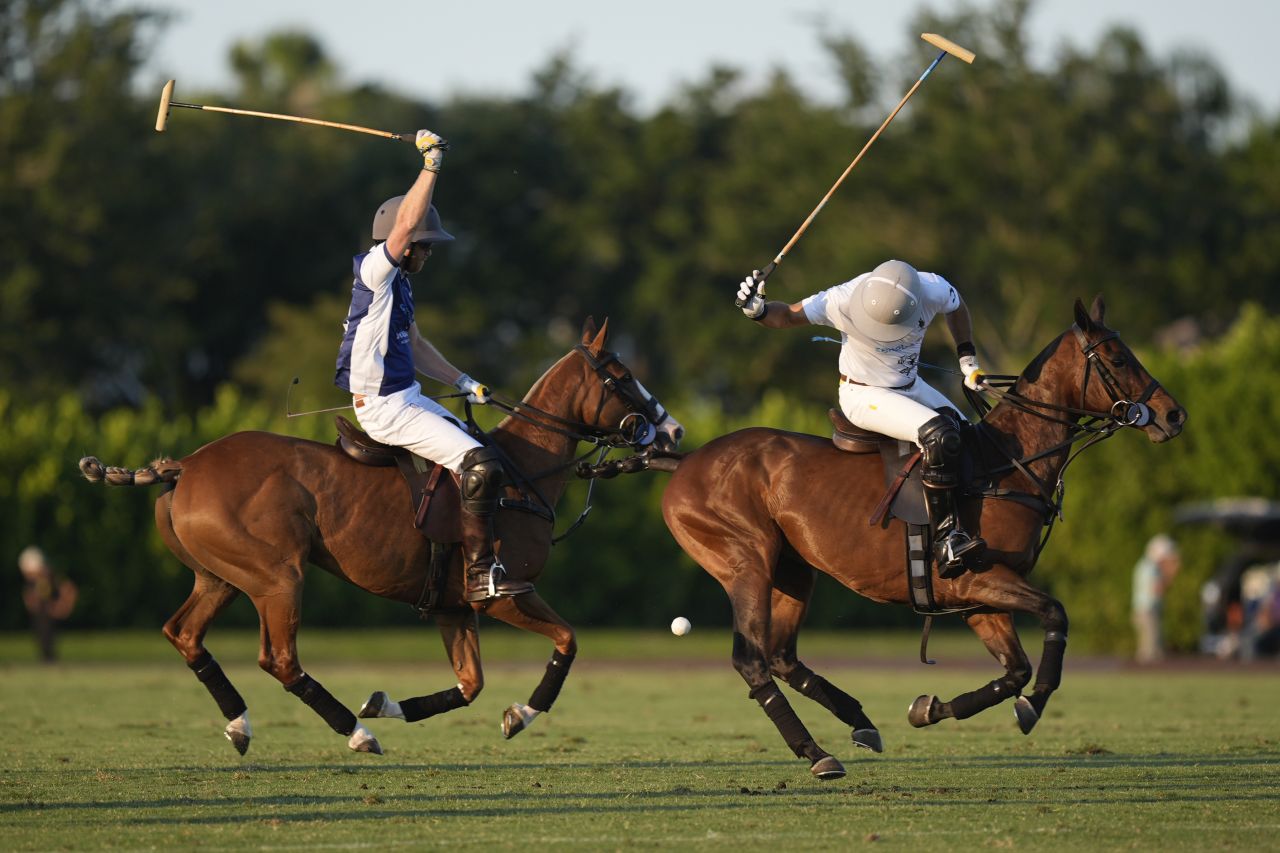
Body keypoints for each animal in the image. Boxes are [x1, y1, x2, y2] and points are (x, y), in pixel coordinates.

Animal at [80, 317, 680, 753]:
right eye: (622, 375)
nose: (672, 431)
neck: (522, 471)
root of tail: (185, 465)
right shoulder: (501, 597)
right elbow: (567, 641)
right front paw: (521, 714)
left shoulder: (453, 608)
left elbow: (470, 686)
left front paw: (384, 703)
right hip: (277, 576)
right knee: (279, 658)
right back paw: (355, 733)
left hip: (220, 575)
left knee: (184, 633)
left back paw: (243, 725)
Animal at [660, 297, 1187, 778]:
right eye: (1118, 359)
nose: (1174, 415)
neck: (1006, 464)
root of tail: (684, 462)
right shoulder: (977, 579)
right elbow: (1054, 616)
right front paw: (1034, 704)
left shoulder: (978, 599)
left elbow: (1013, 669)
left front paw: (929, 709)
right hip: (746, 562)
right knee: (751, 659)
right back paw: (817, 754)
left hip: (794, 569)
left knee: (781, 655)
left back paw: (859, 721)